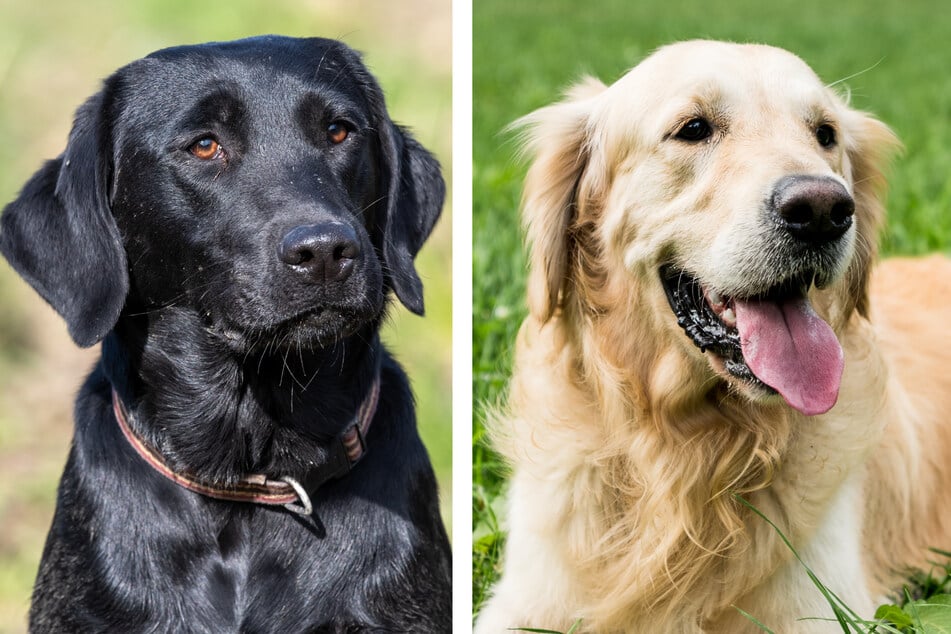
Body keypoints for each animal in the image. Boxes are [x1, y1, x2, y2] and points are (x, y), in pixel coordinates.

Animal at [480, 40, 951, 632]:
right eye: (694, 128)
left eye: (825, 134)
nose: (823, 209)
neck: (686, 443)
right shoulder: (524, 600)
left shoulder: (821, 607)